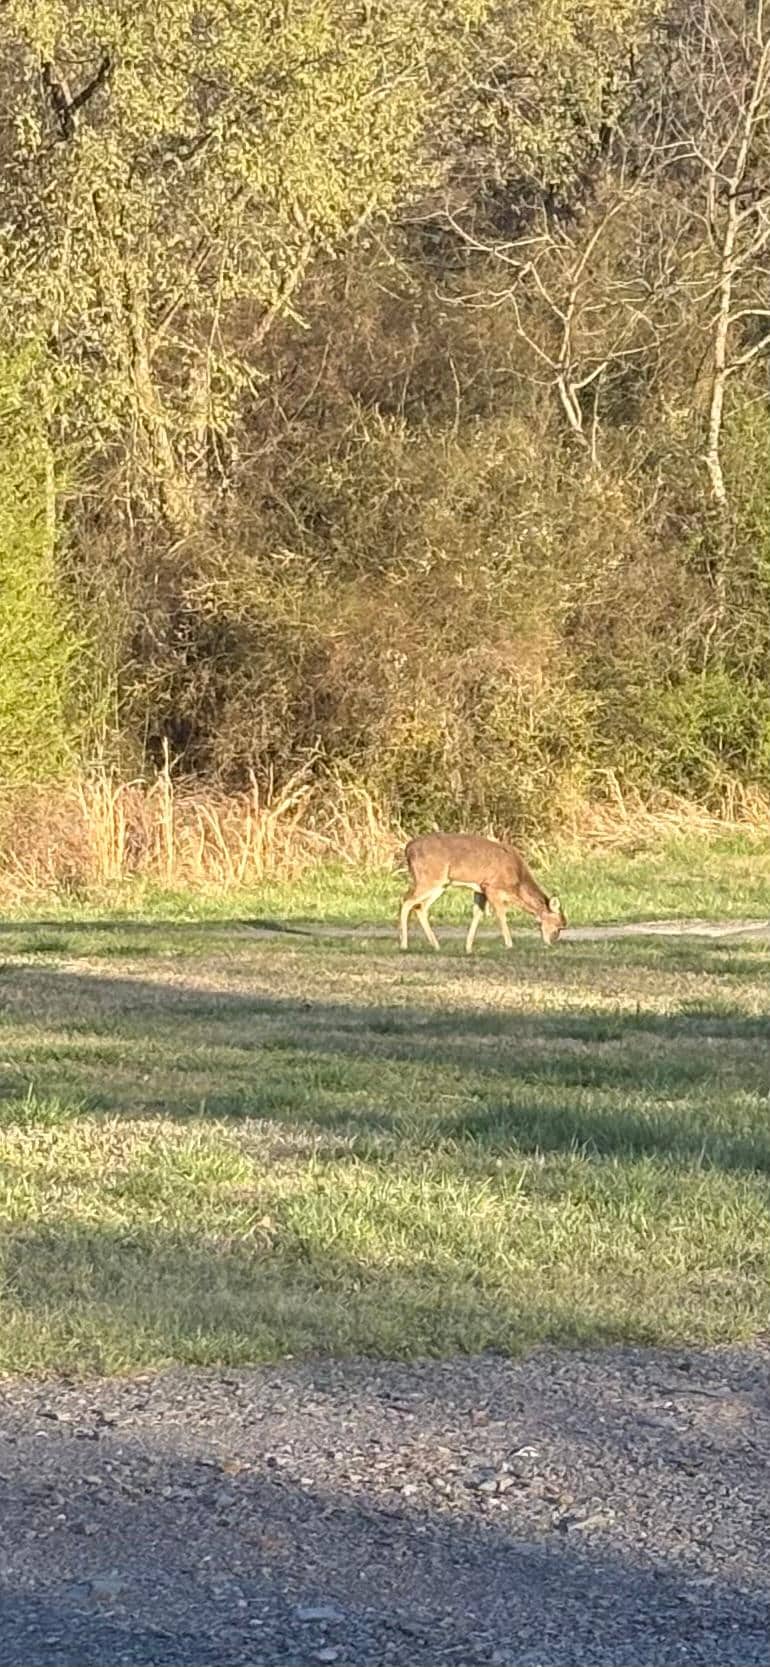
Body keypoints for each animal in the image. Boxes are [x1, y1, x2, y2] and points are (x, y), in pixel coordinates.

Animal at [399, 833, 566, 955]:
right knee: (407, 901)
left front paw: (468, 948)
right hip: (430, 878)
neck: (516, 883)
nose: (552, 942)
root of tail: (408, 848)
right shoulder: (491, 887)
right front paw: (510, 945)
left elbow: (477, 915)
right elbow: (501, 915)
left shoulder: (480, 889)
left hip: (441, 884)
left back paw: (436, 946)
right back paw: (404, 945)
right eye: (559, 926)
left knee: (420, 907)